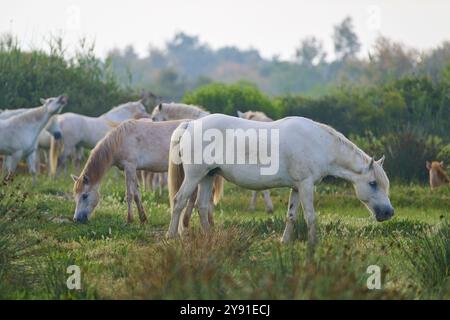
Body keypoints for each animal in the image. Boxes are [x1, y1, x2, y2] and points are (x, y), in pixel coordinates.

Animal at [71, 119, 223, 224]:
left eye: (84, 195)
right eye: (76, 196)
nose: (76, 219)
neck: (121, 140)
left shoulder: (130, 167)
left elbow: (129, 195)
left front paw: (129, 219)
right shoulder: (132, 170)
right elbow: (137, 194)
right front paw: (143, 218)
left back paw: (208, 221)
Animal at [166, 114, 394, 251]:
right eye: (373, 183)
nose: (388, 213)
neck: (318, 143)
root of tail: (190, 124)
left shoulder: (296, 187)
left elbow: (291, 216)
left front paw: (284, 242)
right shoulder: (306, 185)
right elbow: (311, 216)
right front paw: (313, 245)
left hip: (208, 176)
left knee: (202, 207)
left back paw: (210, 237)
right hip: (195, 176)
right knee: (179, 201)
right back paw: (172, 236)